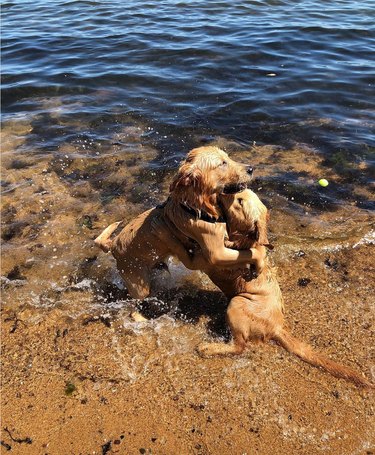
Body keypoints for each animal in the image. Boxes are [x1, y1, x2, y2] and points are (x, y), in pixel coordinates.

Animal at [95, 146, 266, 302]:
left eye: (228, 158)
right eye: (222, 163)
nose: (251, 169)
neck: (198, 209)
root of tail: (113, 245)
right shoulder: (216, 253)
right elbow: (251, 253)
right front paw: (259, 264)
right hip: (137, 284)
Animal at [169, 189, 374, 388]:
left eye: (240, 201)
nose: (223, 190)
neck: (243, 241)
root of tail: (277, 327)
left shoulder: (205, 259)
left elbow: (186, 249)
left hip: (237, 303)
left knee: (240, 346)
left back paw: (209, 348)